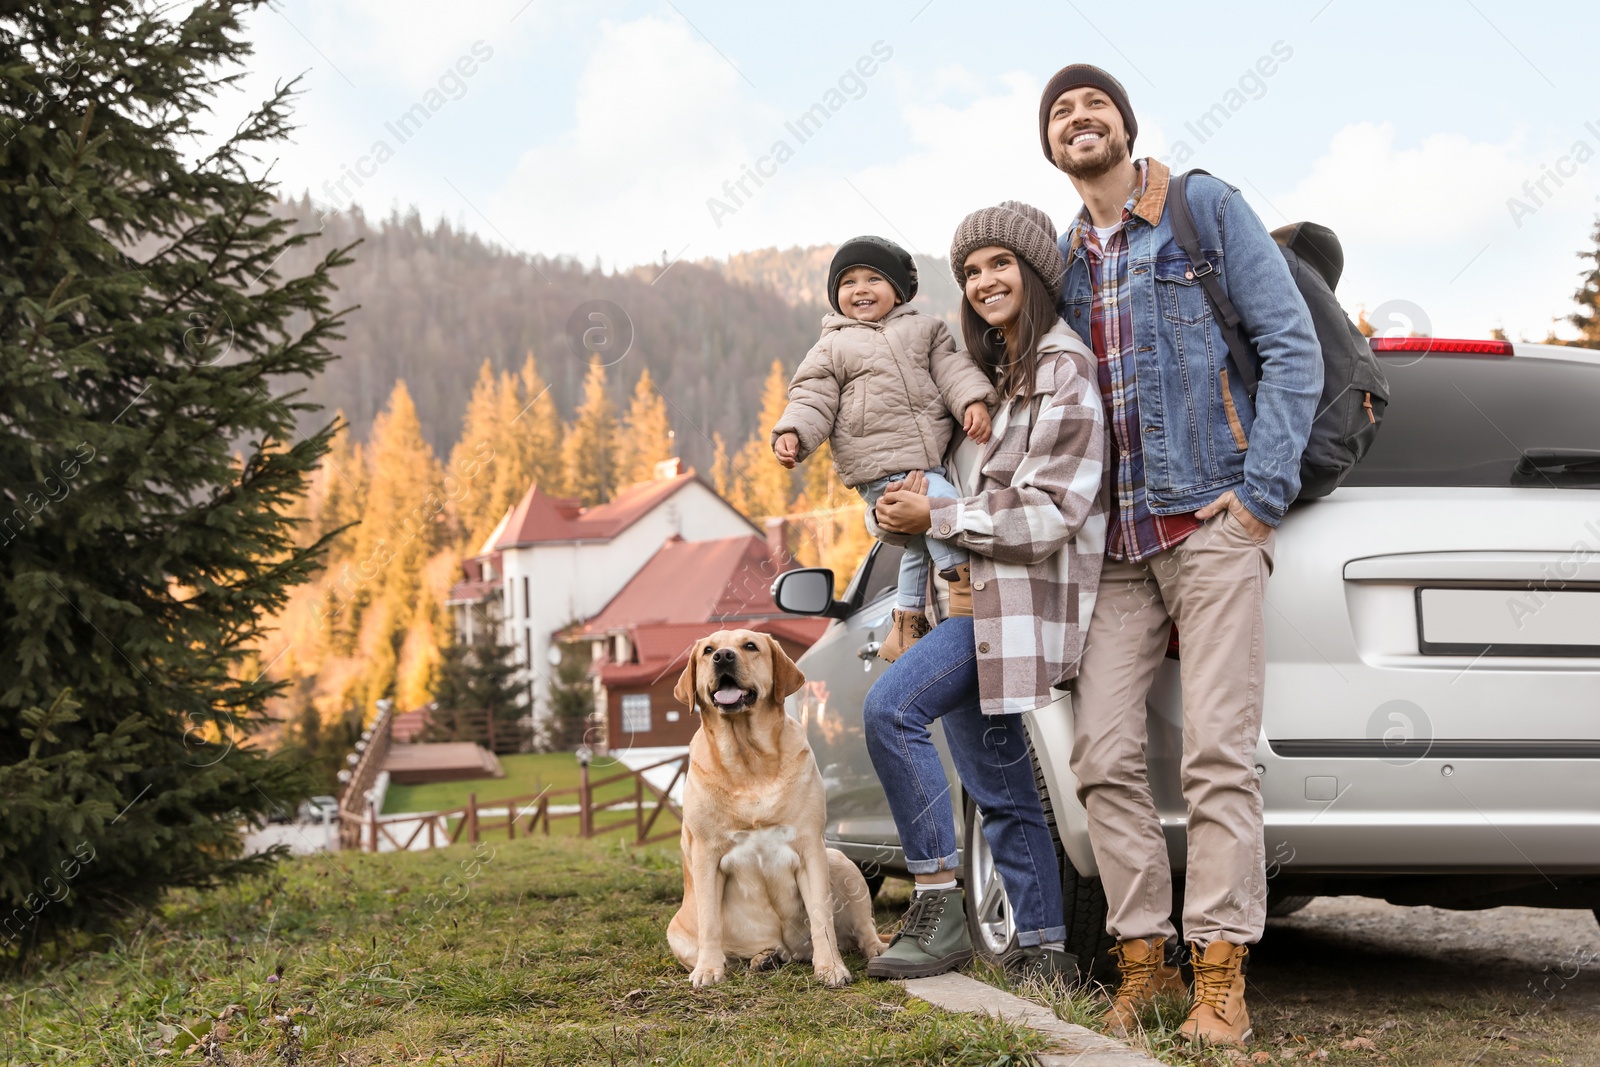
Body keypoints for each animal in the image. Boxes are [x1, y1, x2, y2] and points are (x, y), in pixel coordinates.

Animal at [665, 630, 889, 991]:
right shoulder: (706, 854)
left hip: (840, 863)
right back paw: (762, 958)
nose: (723, 657)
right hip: (676, 933)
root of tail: (789, 951)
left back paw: (875, 951)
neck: (748, 759)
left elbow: (821, 917)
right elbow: (710, 921)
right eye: (708, 650)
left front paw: (831, 968)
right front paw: (708, 970)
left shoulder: (810, 848)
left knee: (865, 930)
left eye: (750, 646)